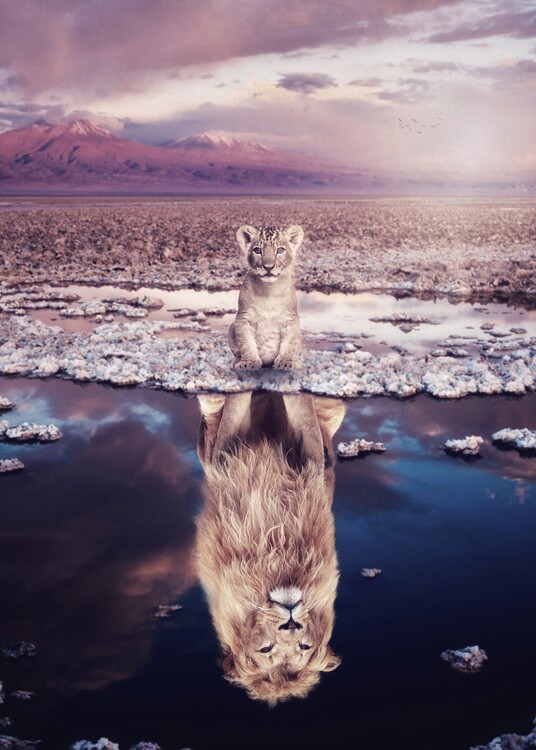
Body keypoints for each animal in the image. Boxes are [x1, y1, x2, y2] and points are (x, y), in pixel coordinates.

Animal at [195, 390, 345, 705]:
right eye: (266, 649)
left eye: (303, 646)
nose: (290, 623)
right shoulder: (224, 453)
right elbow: (235, 406)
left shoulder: (312, 456)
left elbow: (299, 403)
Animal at [229, 225, 304, 370]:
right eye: (258, 250)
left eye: (280, 250)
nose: (268, 267)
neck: (269, 291)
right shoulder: (243, 318)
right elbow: (246, 343)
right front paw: (249, 362)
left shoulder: (291, 319)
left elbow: (290, 343)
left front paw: (286, 362)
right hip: (231, 327)